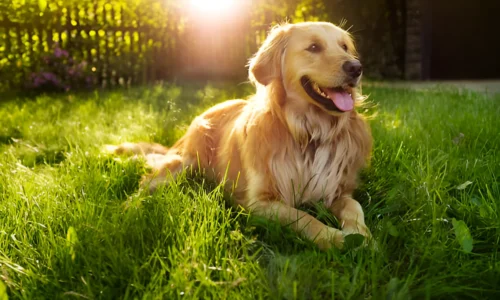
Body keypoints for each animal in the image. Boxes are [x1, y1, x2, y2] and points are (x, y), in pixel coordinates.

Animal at [107, 21, 372, 251]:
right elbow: (303, 217)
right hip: (181, 164)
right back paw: (128, 210)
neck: (309, 133)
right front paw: (334, 238)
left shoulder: (337, 190)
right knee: (143, 186)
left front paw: (361, 235)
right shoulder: (260, 202)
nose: (356, 68)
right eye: (314, 47)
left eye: (344, 47)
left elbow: (354, 207)